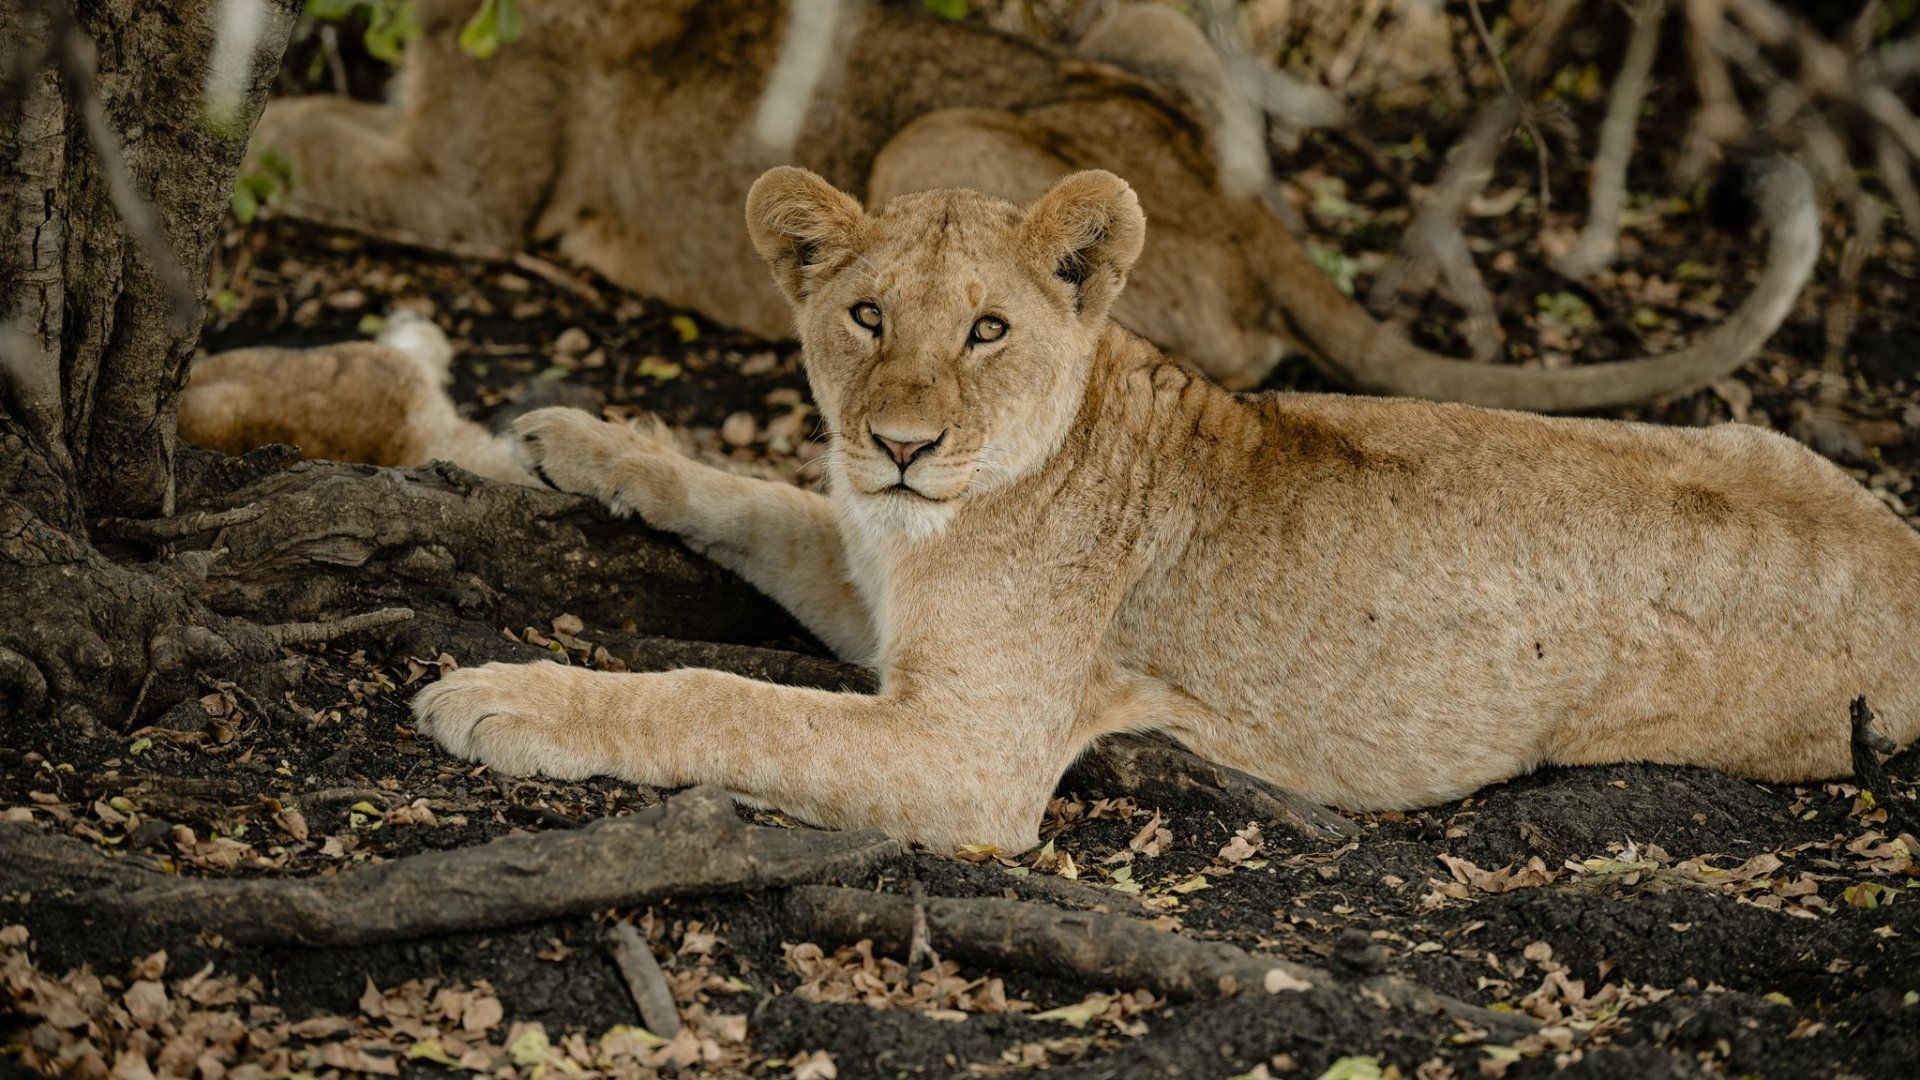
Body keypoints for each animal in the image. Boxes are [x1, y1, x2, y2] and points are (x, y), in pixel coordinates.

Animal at [409, 168, 1920, 853]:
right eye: (867, 315)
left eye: (989, 329)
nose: (898, 443)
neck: (937, 519)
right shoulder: (871, 575)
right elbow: (746, 495)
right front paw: (573, 439)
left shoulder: (972, 753)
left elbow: (724, 701)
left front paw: (500, 697)